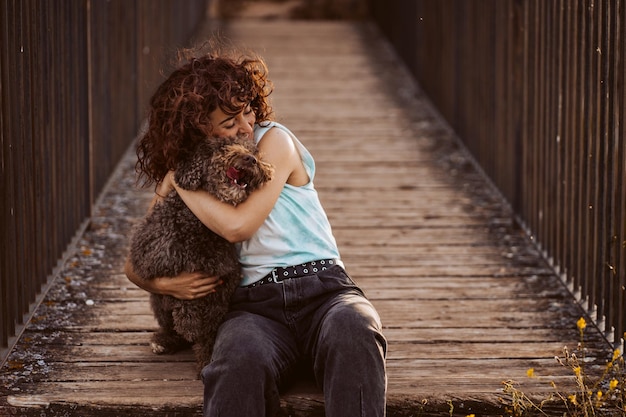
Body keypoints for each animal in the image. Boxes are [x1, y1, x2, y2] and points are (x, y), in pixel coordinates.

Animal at [128, 136, 272, 374]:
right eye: (224, 147)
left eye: (254, 151)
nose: (250, 159)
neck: (198, 226)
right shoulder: (154, 257)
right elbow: (187, 307)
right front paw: (189, 326)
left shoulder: (223, 281)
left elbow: (209, 328)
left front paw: (205, 358)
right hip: (157, 299)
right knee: (169, 324)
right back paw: (164, 340)